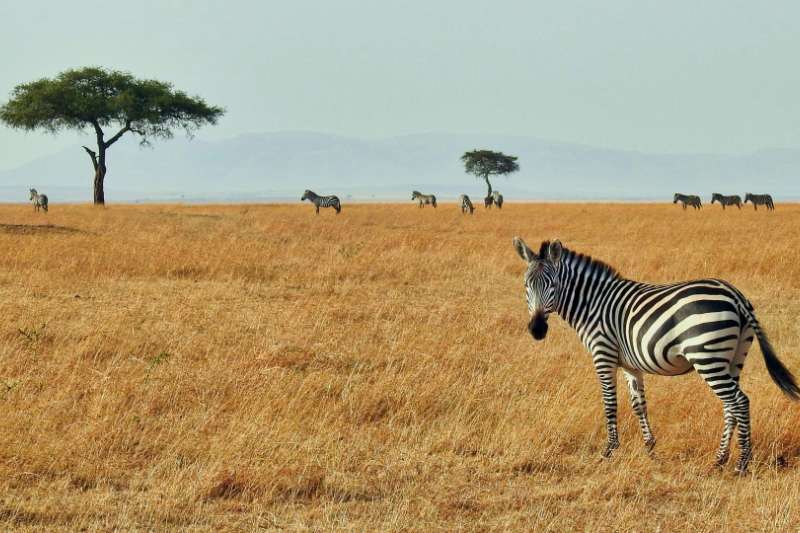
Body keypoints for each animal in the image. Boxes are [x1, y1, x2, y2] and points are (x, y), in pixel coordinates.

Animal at [512, 239, 800, 472]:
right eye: (526, 285)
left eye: (552, 284)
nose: (537, 330)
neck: (592, 304)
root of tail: (734, 294)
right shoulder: (630, 364)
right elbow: (639, 404)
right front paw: (649, 448)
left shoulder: (603, 354)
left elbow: (610, 403)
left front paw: (609, 451)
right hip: (734, 357)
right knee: (731, 405)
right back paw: (719, 460)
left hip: (707, 356)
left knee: (739, 401)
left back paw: (741, 464)